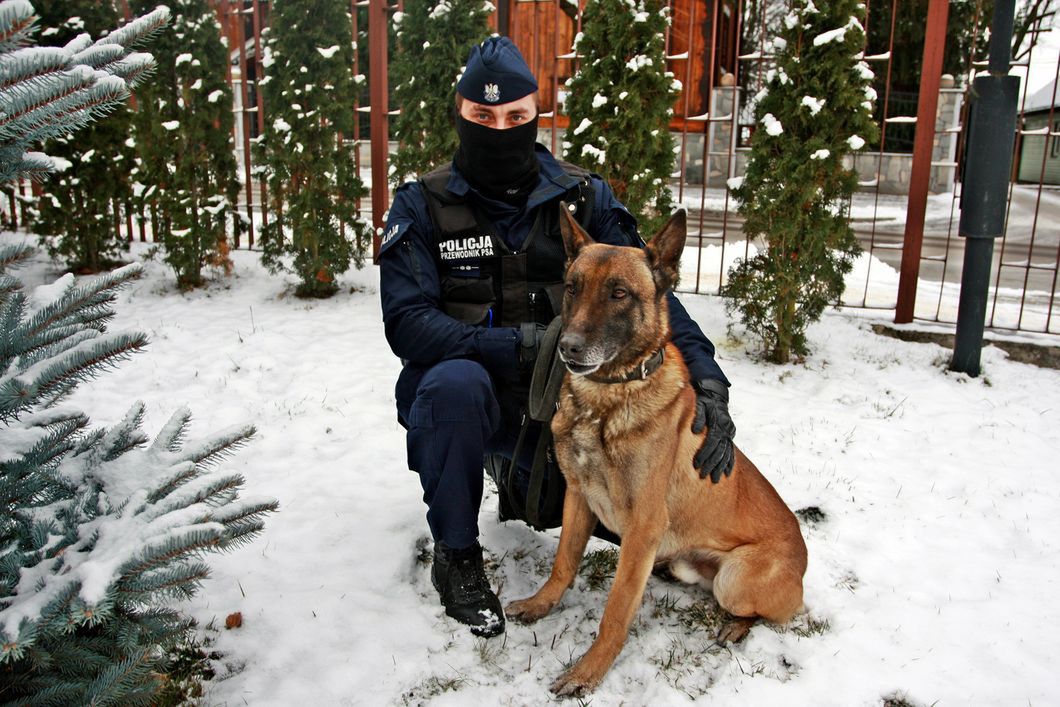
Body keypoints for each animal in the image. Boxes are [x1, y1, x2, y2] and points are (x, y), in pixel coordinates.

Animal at [508, 207, 805, 695]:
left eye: (619, 294)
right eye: (572, 287)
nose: (566, 348)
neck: (605, 401)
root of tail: (804, 561)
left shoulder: (642, 528)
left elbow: (616, 611)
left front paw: (588, 672)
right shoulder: (578, 499)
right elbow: (563, 564)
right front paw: (540, 604)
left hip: (735, 579)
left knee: (763, 614)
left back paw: (735, 627)